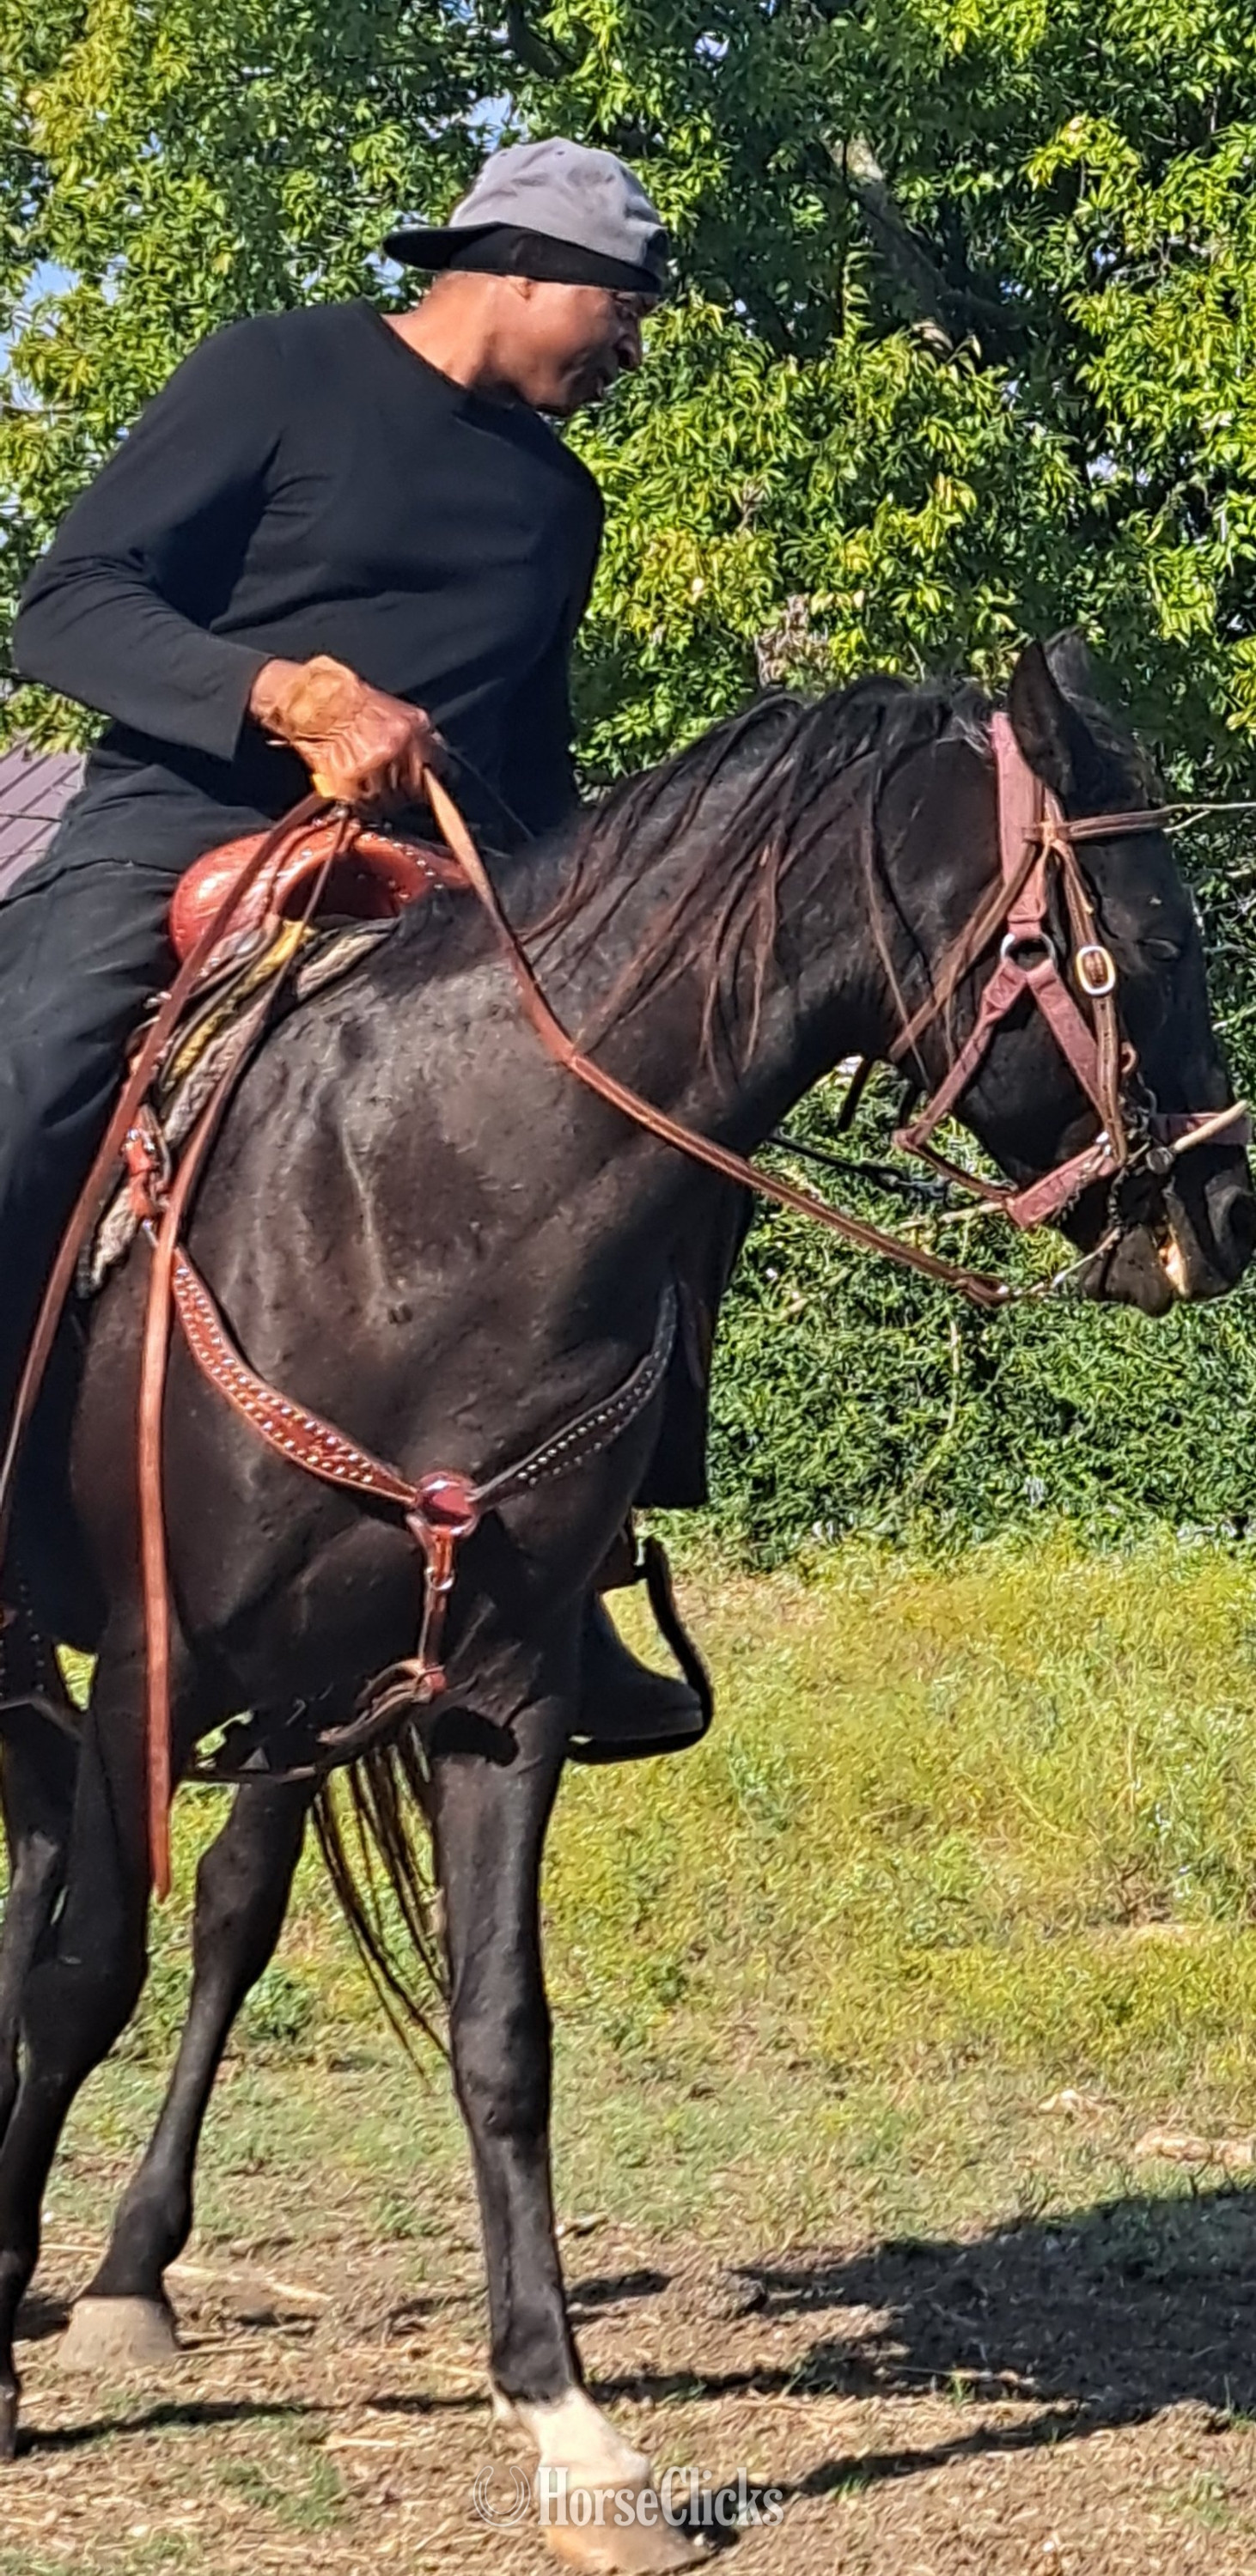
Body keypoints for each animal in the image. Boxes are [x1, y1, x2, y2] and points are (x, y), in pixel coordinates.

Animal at [0, 633, 1251, 2573]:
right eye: (1159, 938)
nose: (1226, 1202)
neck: (416, 1203)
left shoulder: (491, 1690)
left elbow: (497, 2031)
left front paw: (568, 2421)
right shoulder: (151, 1658)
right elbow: (81, 1978)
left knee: (219, 1902)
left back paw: (134, 2269)